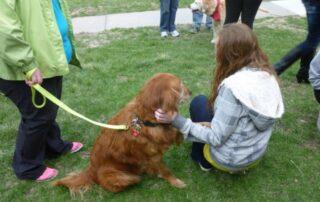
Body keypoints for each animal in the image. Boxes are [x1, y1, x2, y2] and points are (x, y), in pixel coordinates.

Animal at [53, 73, 190, 193]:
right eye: (181, 85)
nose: (191, 92)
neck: (144, 119)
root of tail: (90, 170)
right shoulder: (154, 157)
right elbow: (166, 171)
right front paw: (176, 182)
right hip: (119, 176)